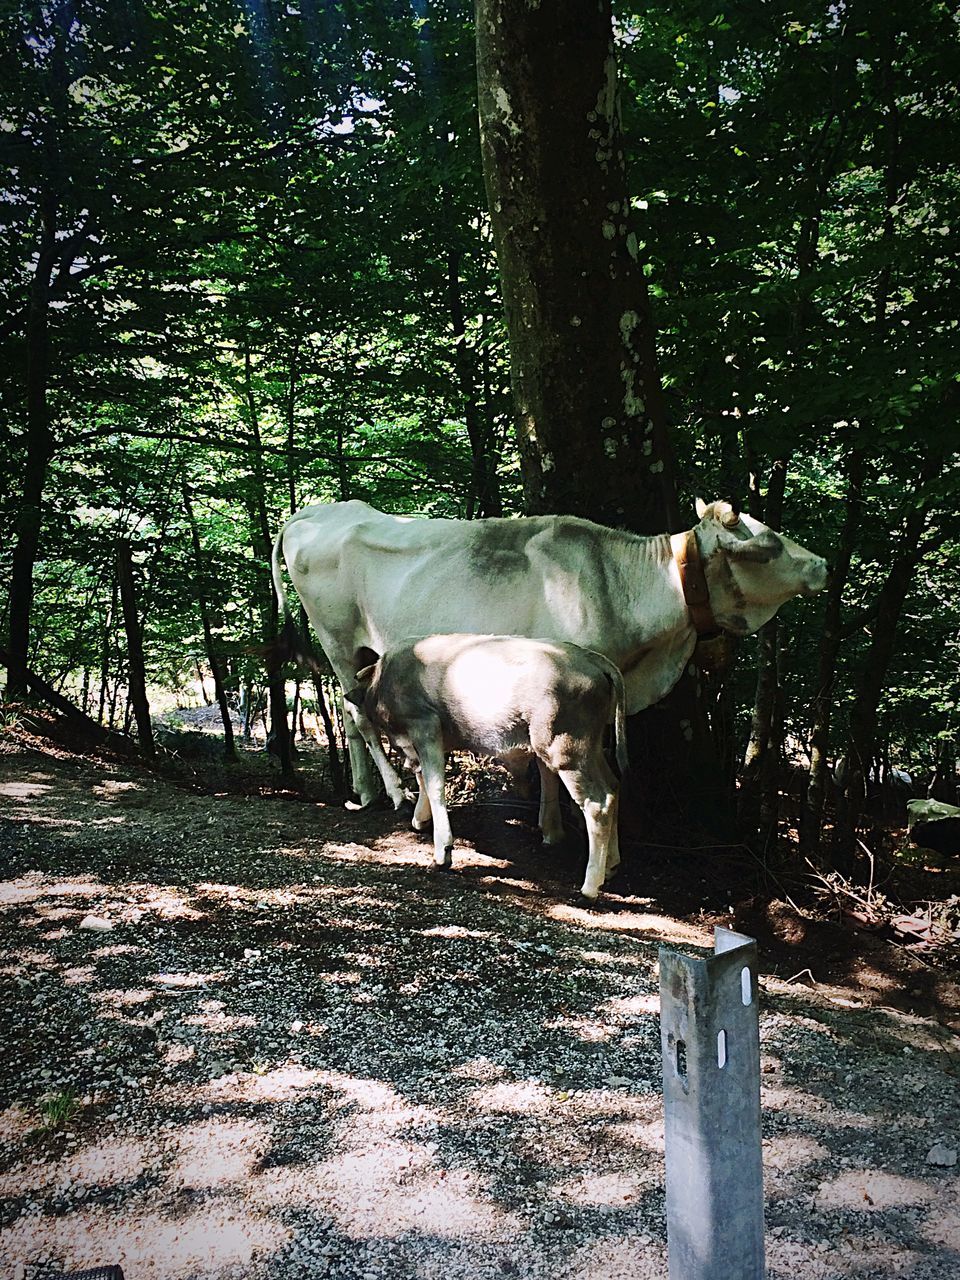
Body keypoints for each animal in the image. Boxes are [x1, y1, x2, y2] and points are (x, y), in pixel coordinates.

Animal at [271, 494, 829, 814]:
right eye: (767, 546)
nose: (823, 564)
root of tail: (313, 512)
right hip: (337, 638)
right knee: (354, 712)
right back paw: (389, 792)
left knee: (349, 712)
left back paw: (366, 791)